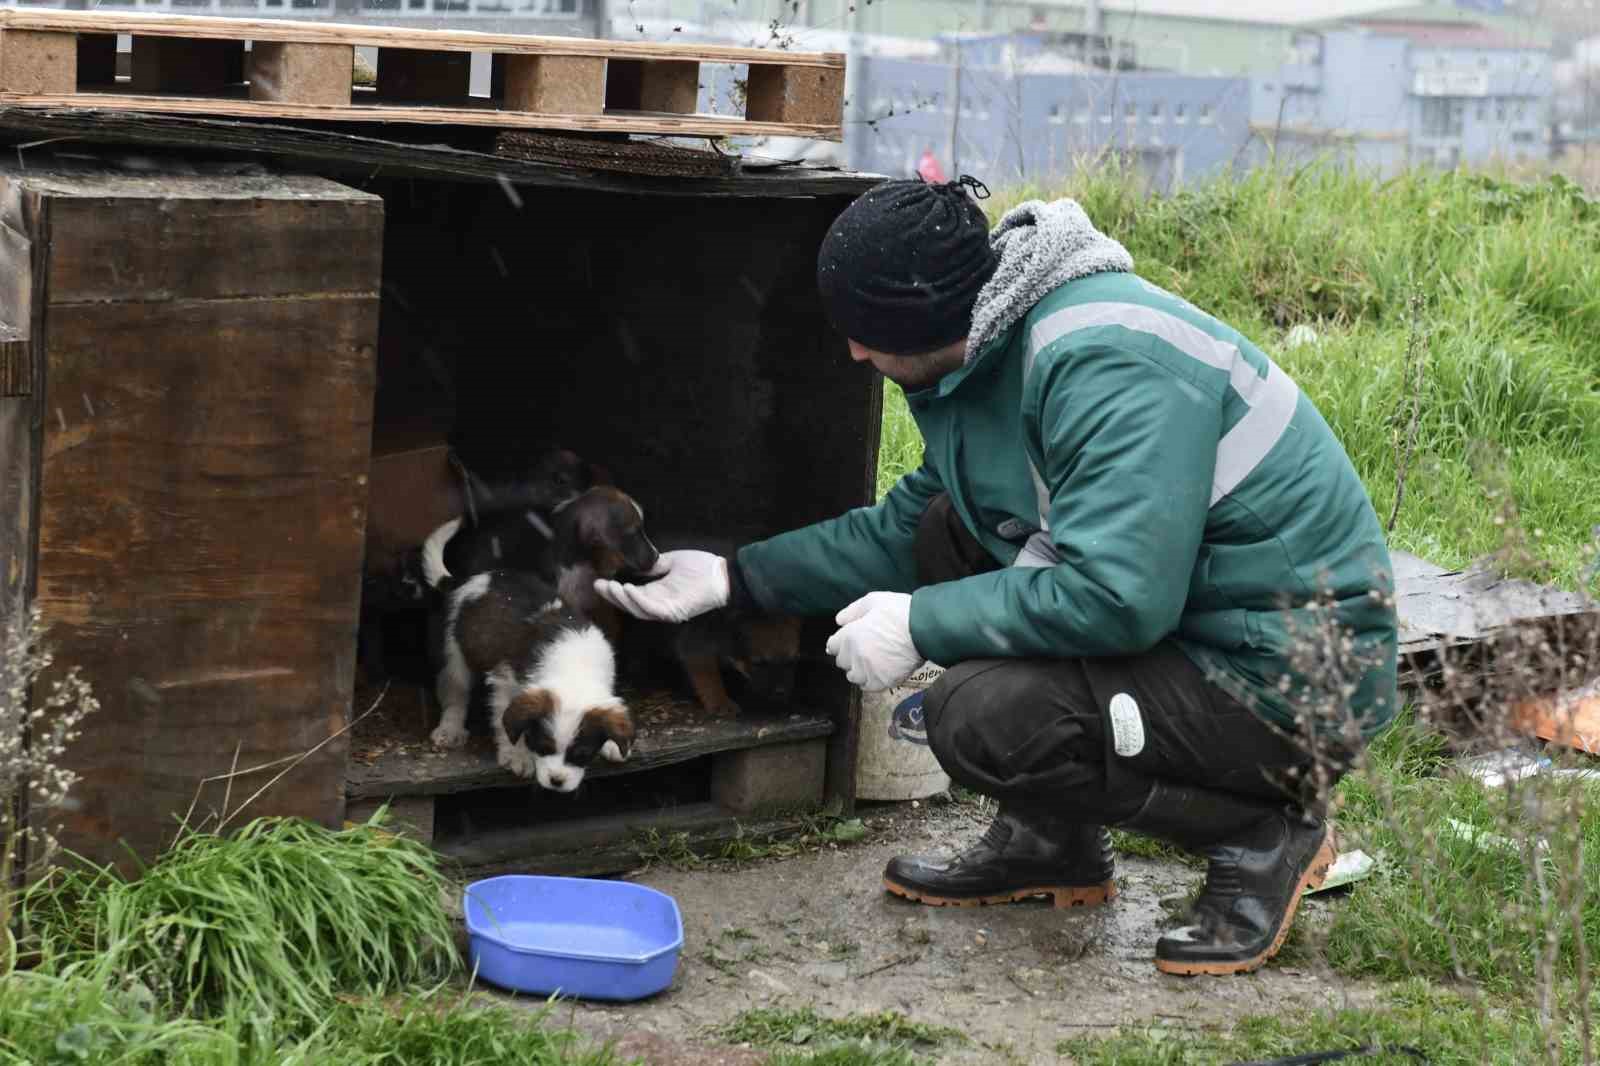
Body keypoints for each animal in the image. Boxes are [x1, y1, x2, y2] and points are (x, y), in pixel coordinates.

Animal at [422, 518, 633, 793]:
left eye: (581, 755)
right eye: (542, 747)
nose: (556, 782)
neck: (574, 666)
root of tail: (467, 580)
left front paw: (612, 745)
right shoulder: (505, 682)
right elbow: (507, 723)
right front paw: (518, 756)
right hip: (455, 655)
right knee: (455, 695)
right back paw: (450, 729)